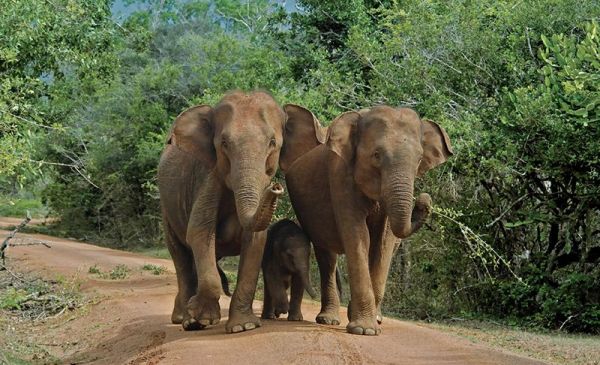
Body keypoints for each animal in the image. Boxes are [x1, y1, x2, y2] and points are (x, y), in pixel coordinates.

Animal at [157, 91, 288, 332]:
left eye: (272, 143)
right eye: (224, 144)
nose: (275, 187)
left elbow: (255, 240)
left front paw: (243, 327)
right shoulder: (208, 178)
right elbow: (199, 233)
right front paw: (200, 320)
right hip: (166, 209)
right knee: (180, 255)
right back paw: (184, 320)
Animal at [284, 104, 452, 334]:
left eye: (419, 160)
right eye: (376, 155)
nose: (423, 200)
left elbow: (383, 242)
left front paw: (367, 322)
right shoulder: (340, 175)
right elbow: (359, 236)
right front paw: (364, 330)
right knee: (326, 256)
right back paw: (329, 320)